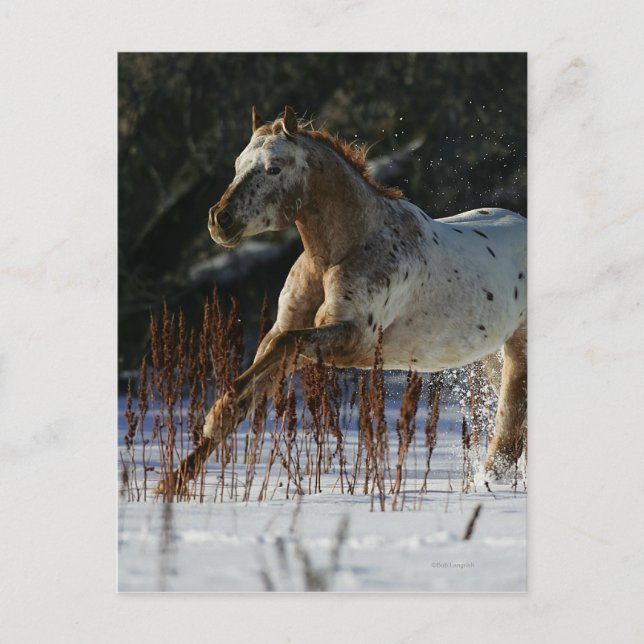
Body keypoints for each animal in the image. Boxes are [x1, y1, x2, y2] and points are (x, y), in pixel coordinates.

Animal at [155, 106, 527, 496]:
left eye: (274, 168)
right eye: (238, 164)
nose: (220, 220)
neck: (342, 251)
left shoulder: (350, 339)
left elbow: (281, 351)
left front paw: (213, 416)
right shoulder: (287, 331)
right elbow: (259, 376)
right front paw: (170, 484)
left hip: (518, 351)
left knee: (510, 431)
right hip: (490, 357)